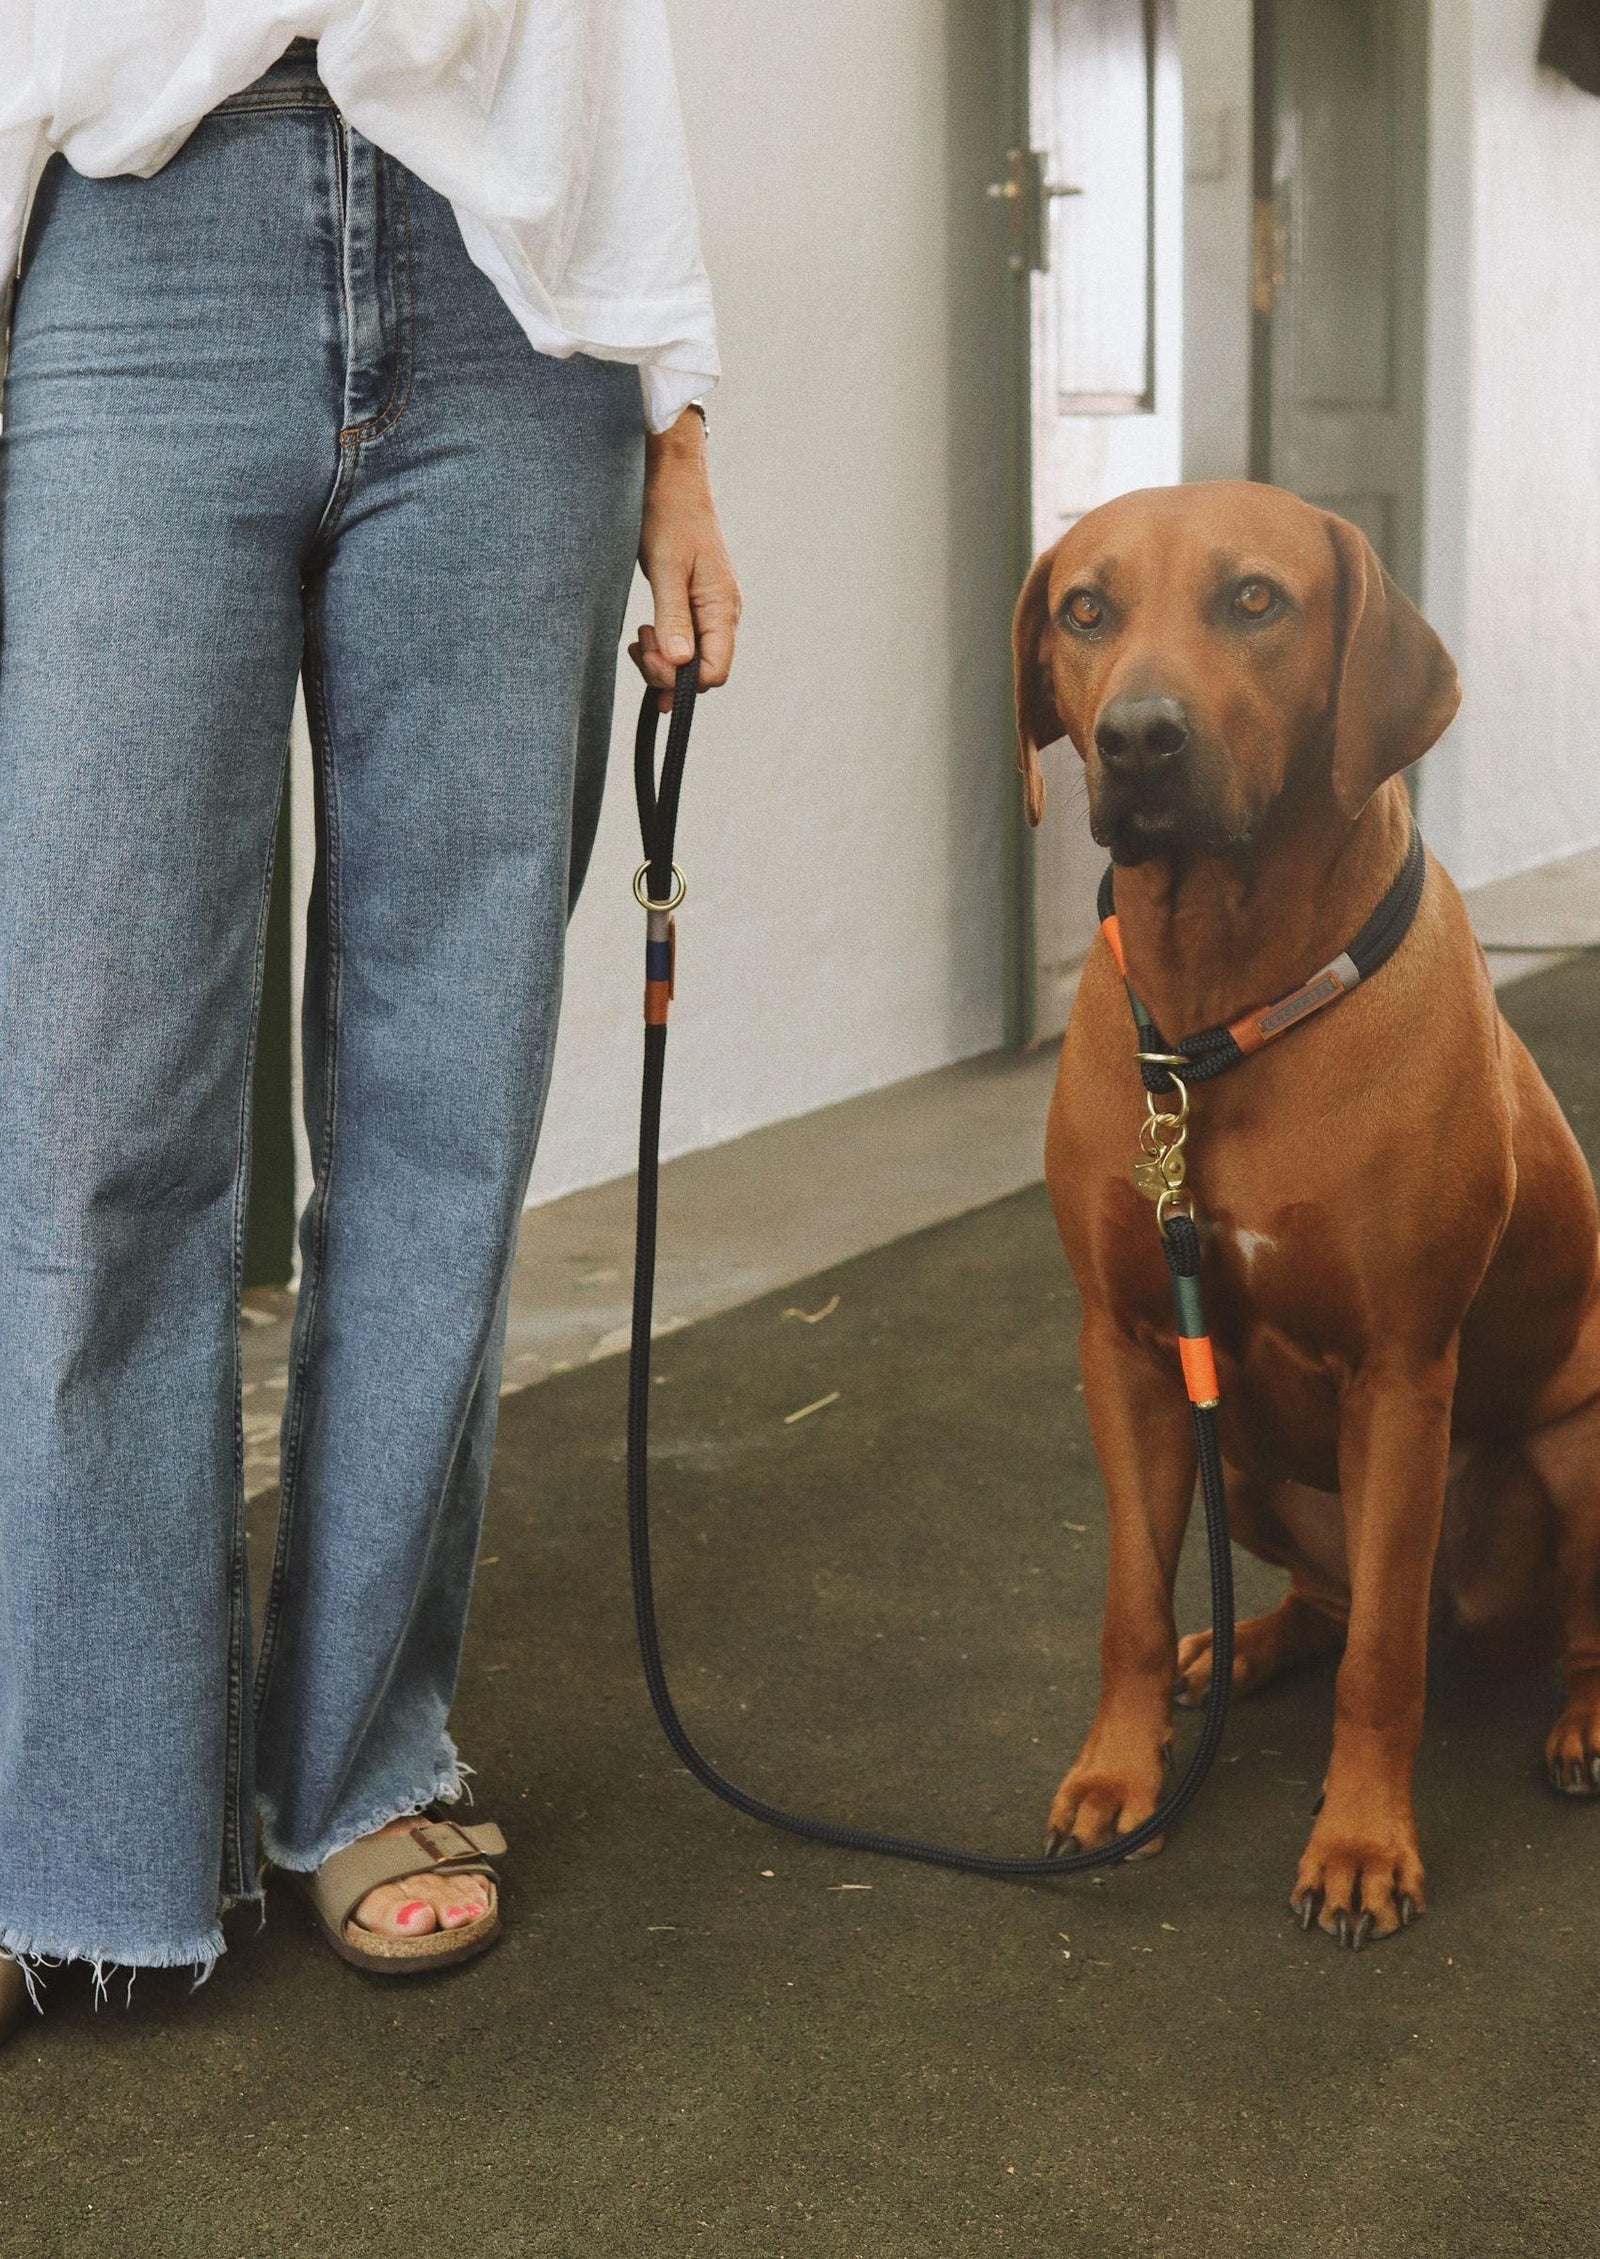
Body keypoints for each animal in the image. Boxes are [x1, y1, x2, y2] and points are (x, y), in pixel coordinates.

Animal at [1012, 481, 1600, 1942]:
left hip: (1576, 1450)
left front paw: (1362, 1843)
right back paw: (1240, 1643)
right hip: (1246, 1463)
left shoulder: (1398, 1370)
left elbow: (1383, 1662)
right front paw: (1120, 1777)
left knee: (1544, 1627)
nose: (1138, 737)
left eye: (1254, 600)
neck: (1223, 1007)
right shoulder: (1127, 1349)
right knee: (1328, 1600)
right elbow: (1127, 1600)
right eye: (1084, 609)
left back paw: (1582, 1721)